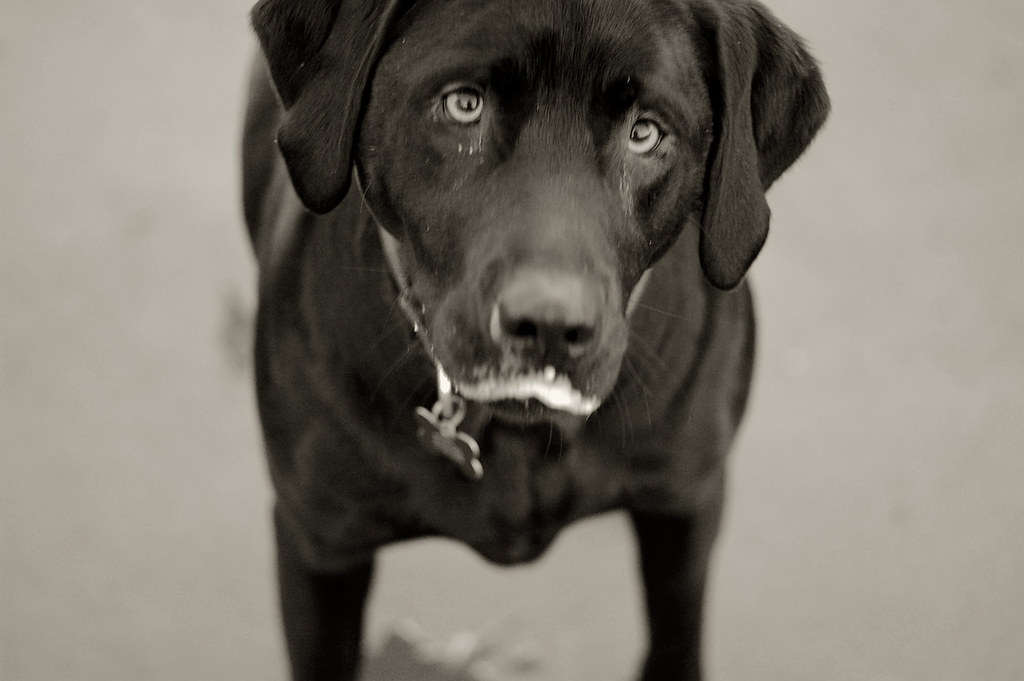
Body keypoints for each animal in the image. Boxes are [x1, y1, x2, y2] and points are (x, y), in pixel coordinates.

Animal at [243, 2, 827, 675]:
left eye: (646, 133)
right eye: (463, 104)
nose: (550, 326)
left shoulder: (685, 501)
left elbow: (676, 640)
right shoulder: (320, 540)